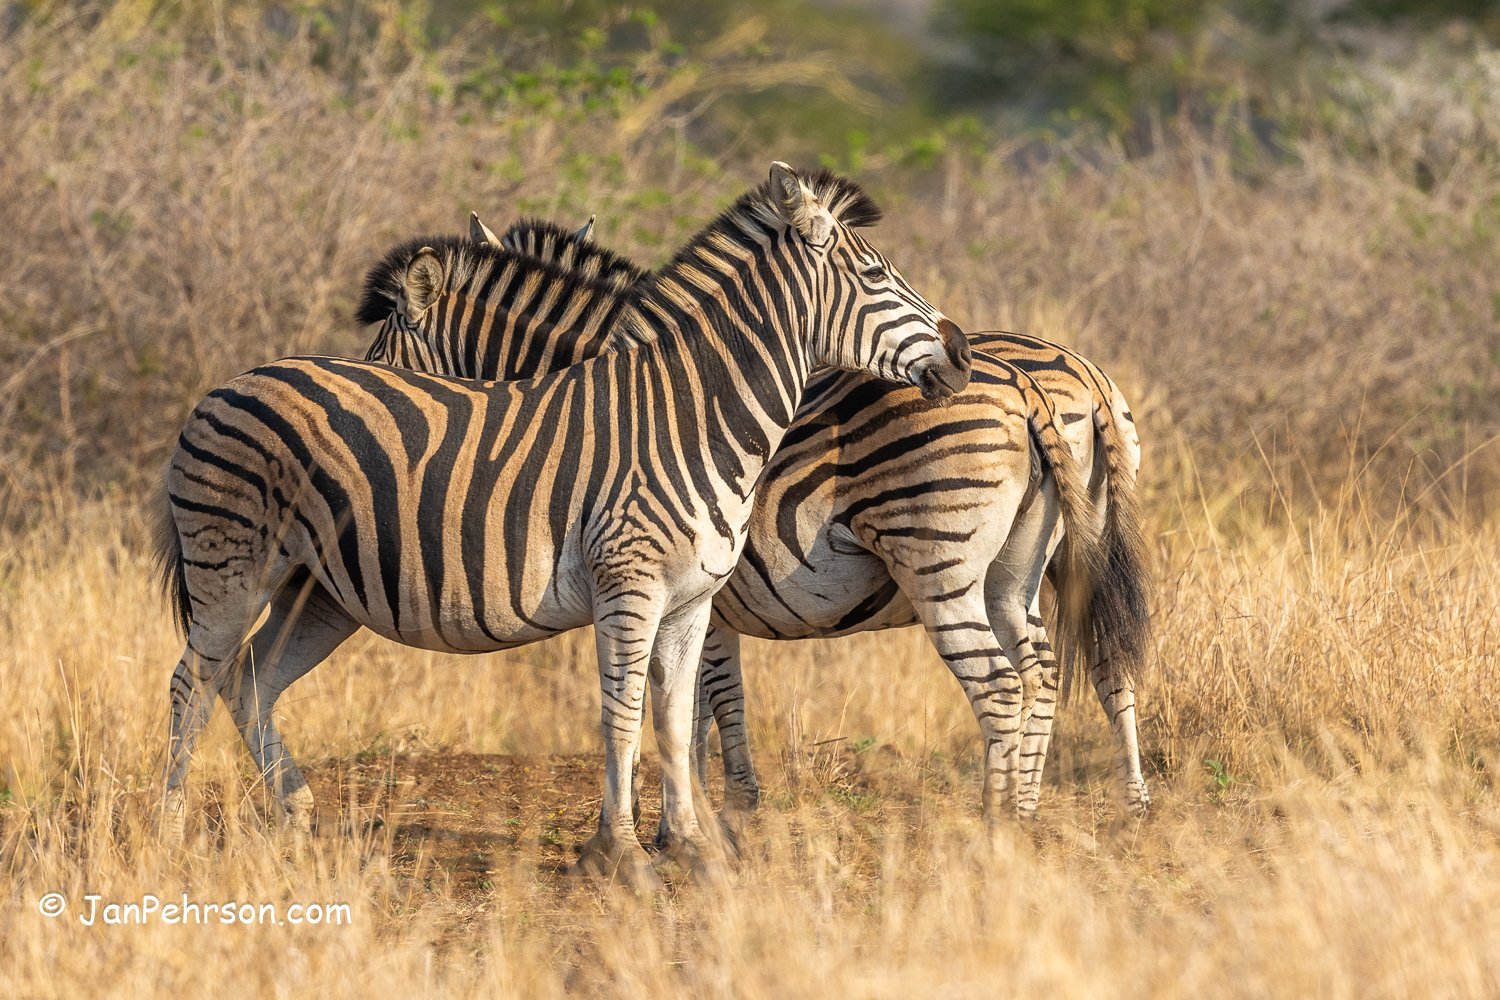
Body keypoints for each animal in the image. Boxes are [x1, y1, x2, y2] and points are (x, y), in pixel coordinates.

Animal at [153, 162, 974, 884]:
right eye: (876, 279)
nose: (961, 355)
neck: (696, 415)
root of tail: (228, 383)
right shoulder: (629, 589)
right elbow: (625, 719)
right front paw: (623, 854)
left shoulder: (693, 602)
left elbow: (672, 722)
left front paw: (693, 848)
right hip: (232, 568)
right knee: (193, 682)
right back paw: (170, 830)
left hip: (317, 590)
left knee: (249, 679)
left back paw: (297, 815)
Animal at [368, 205, 1144, 827]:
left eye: (381, 350)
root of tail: (1063, 379)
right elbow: (692, 708)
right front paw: (693, 819)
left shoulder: (698, 593)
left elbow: (698, 704)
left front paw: (718, 814)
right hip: (1027, 565)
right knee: (1071, 666)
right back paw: (1073, 808)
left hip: (945, 556)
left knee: (1015, 679)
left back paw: (1006, 820)